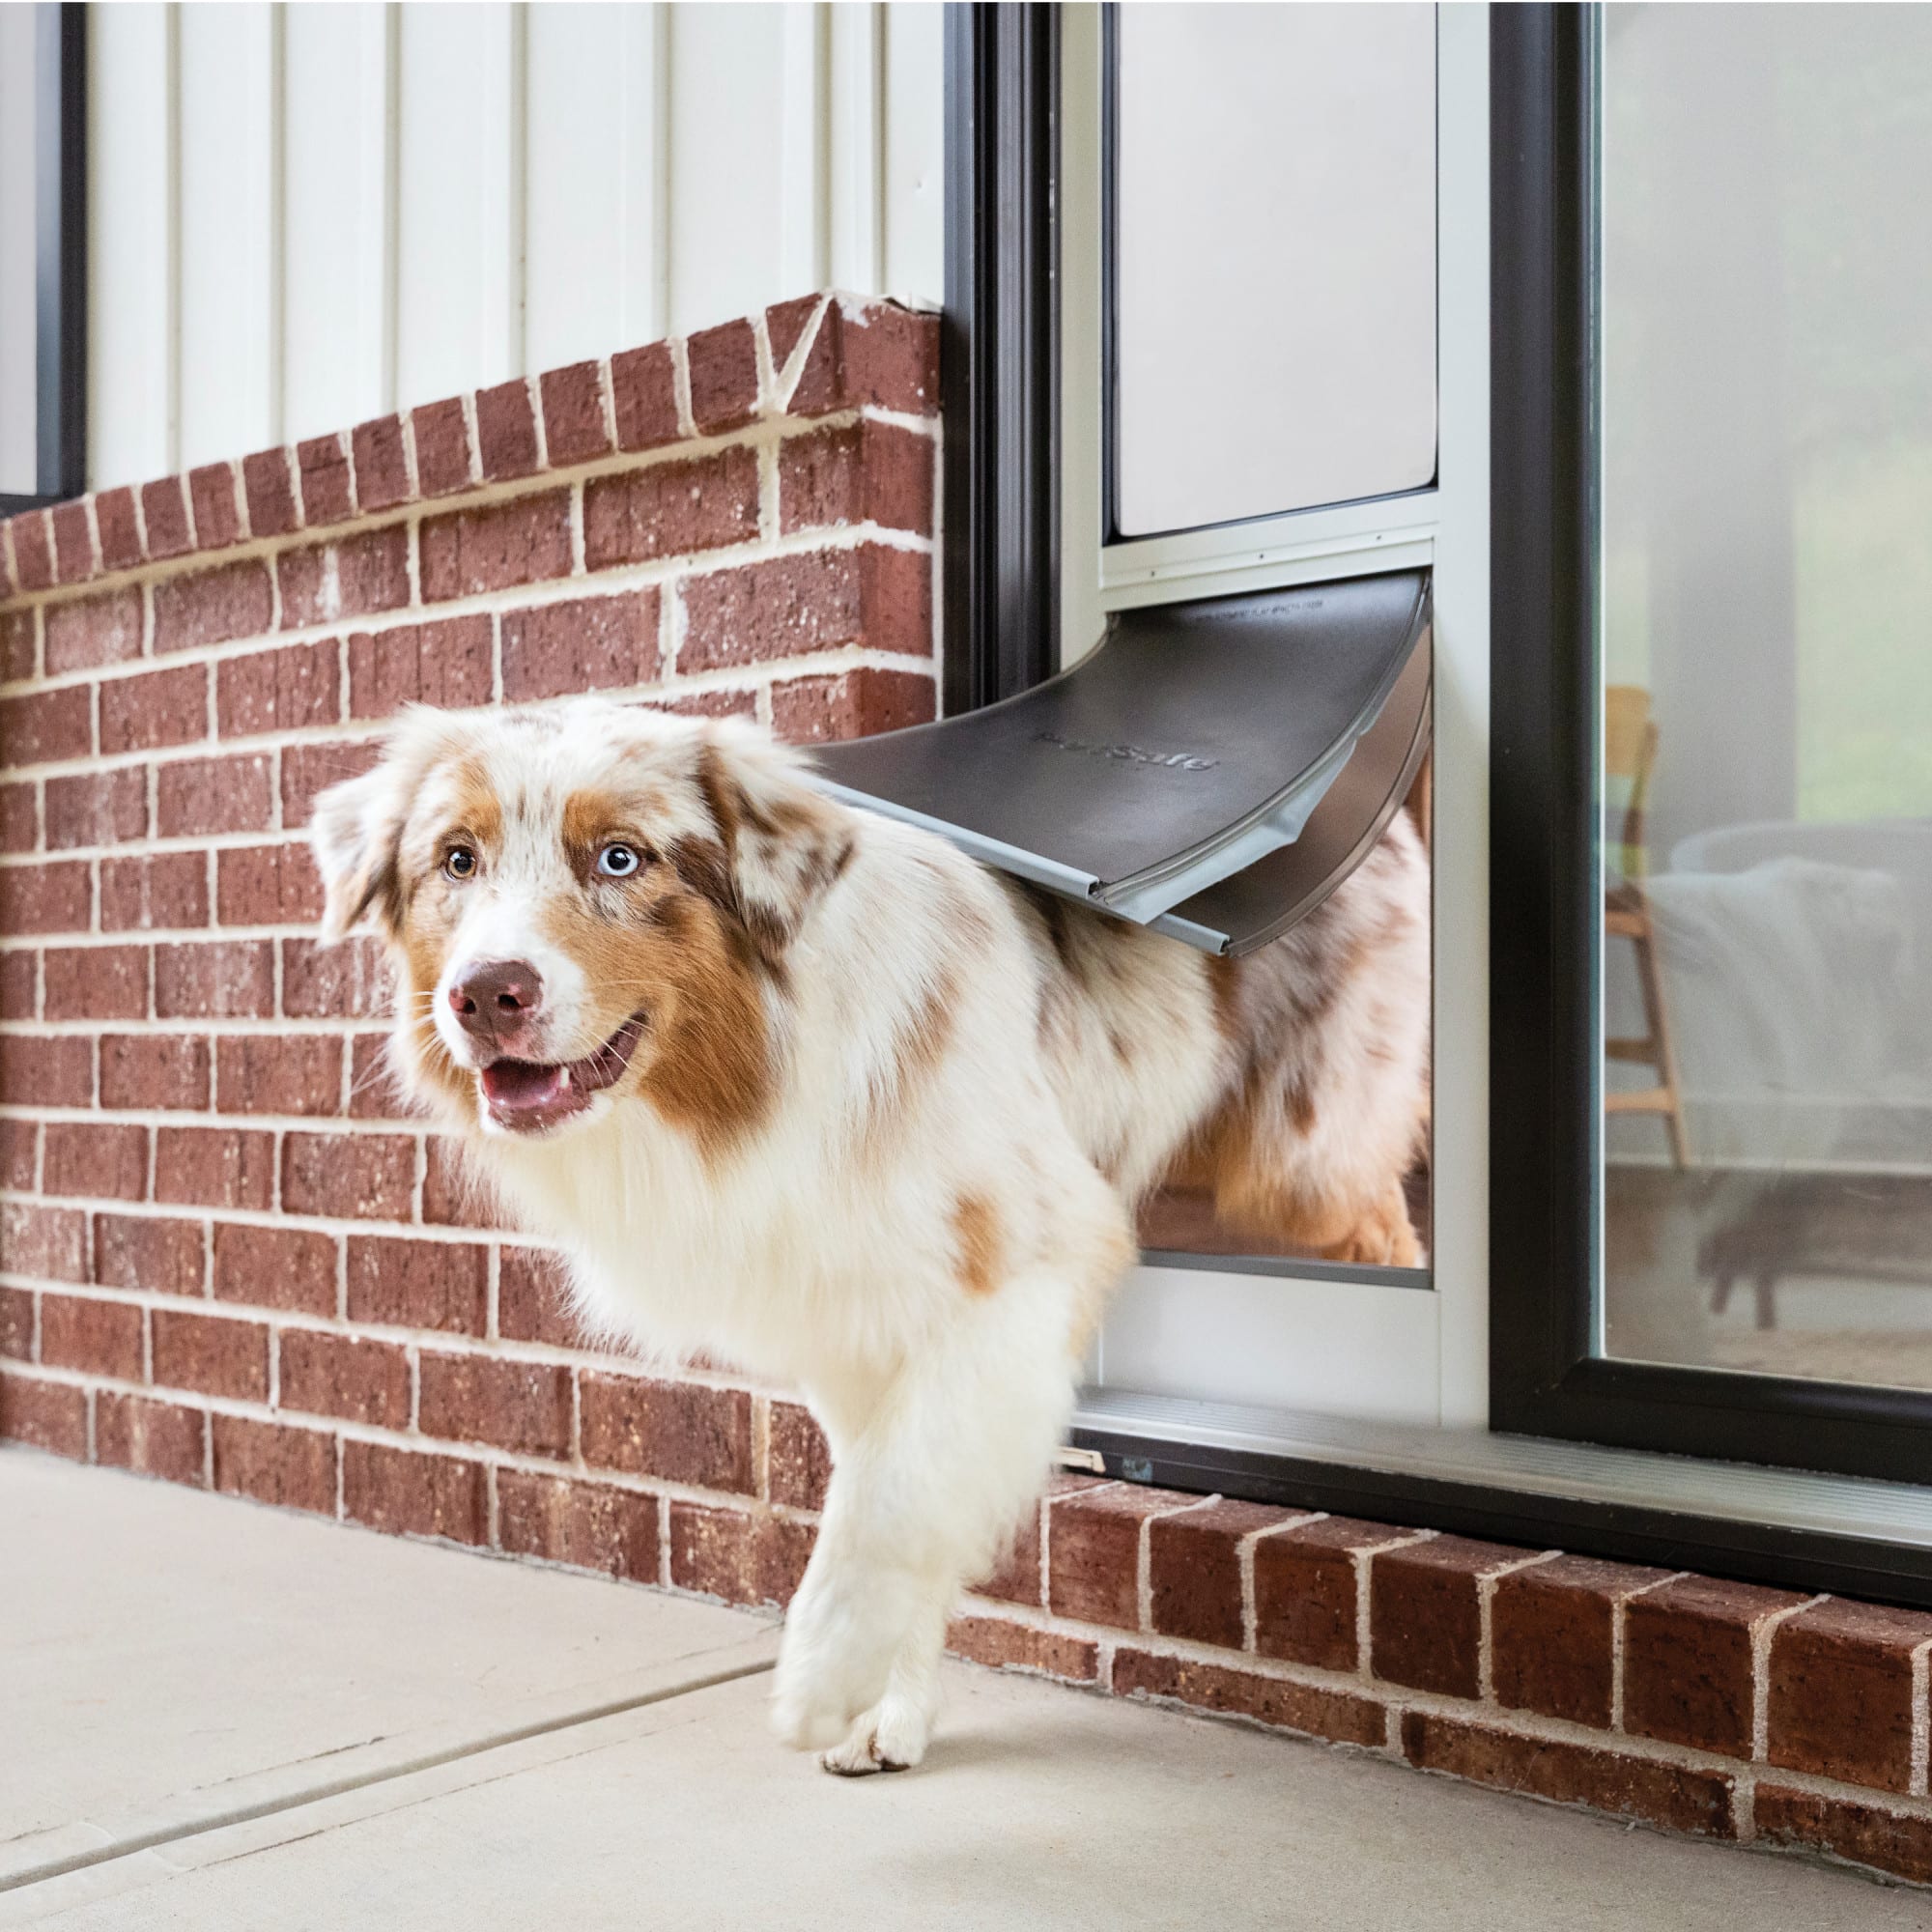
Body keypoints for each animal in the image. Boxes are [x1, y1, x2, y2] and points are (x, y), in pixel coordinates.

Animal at [313, 703, 1437, 1770]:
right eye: (457, 859)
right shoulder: (856, 1317)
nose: (485, 993)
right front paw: (884, 1709)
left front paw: (822, 1678)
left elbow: (892, 1498)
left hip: (1308, 1171)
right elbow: (907, 1487)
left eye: (620, 859)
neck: (768, 1071)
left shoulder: (1026, 1259)